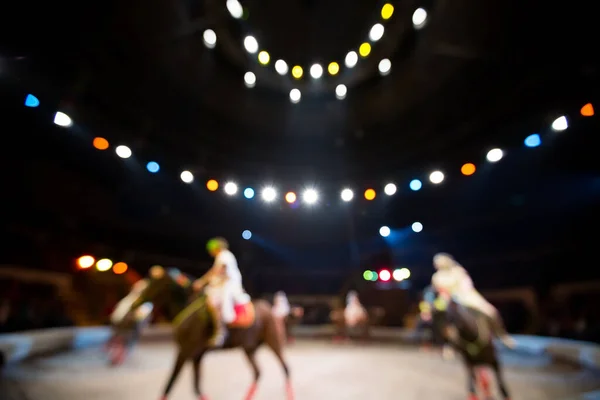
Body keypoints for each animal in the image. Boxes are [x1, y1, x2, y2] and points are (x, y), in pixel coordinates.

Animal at [129, 268, 292, 400]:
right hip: (249, 348)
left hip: (273, 341)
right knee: (258, 373)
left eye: (150, 283)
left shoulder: (184, 351)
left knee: (285, 368)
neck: (187, 305)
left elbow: (170, 383)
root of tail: (271, 309)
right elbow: (196, 387)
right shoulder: (197, 355)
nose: (134, 303)